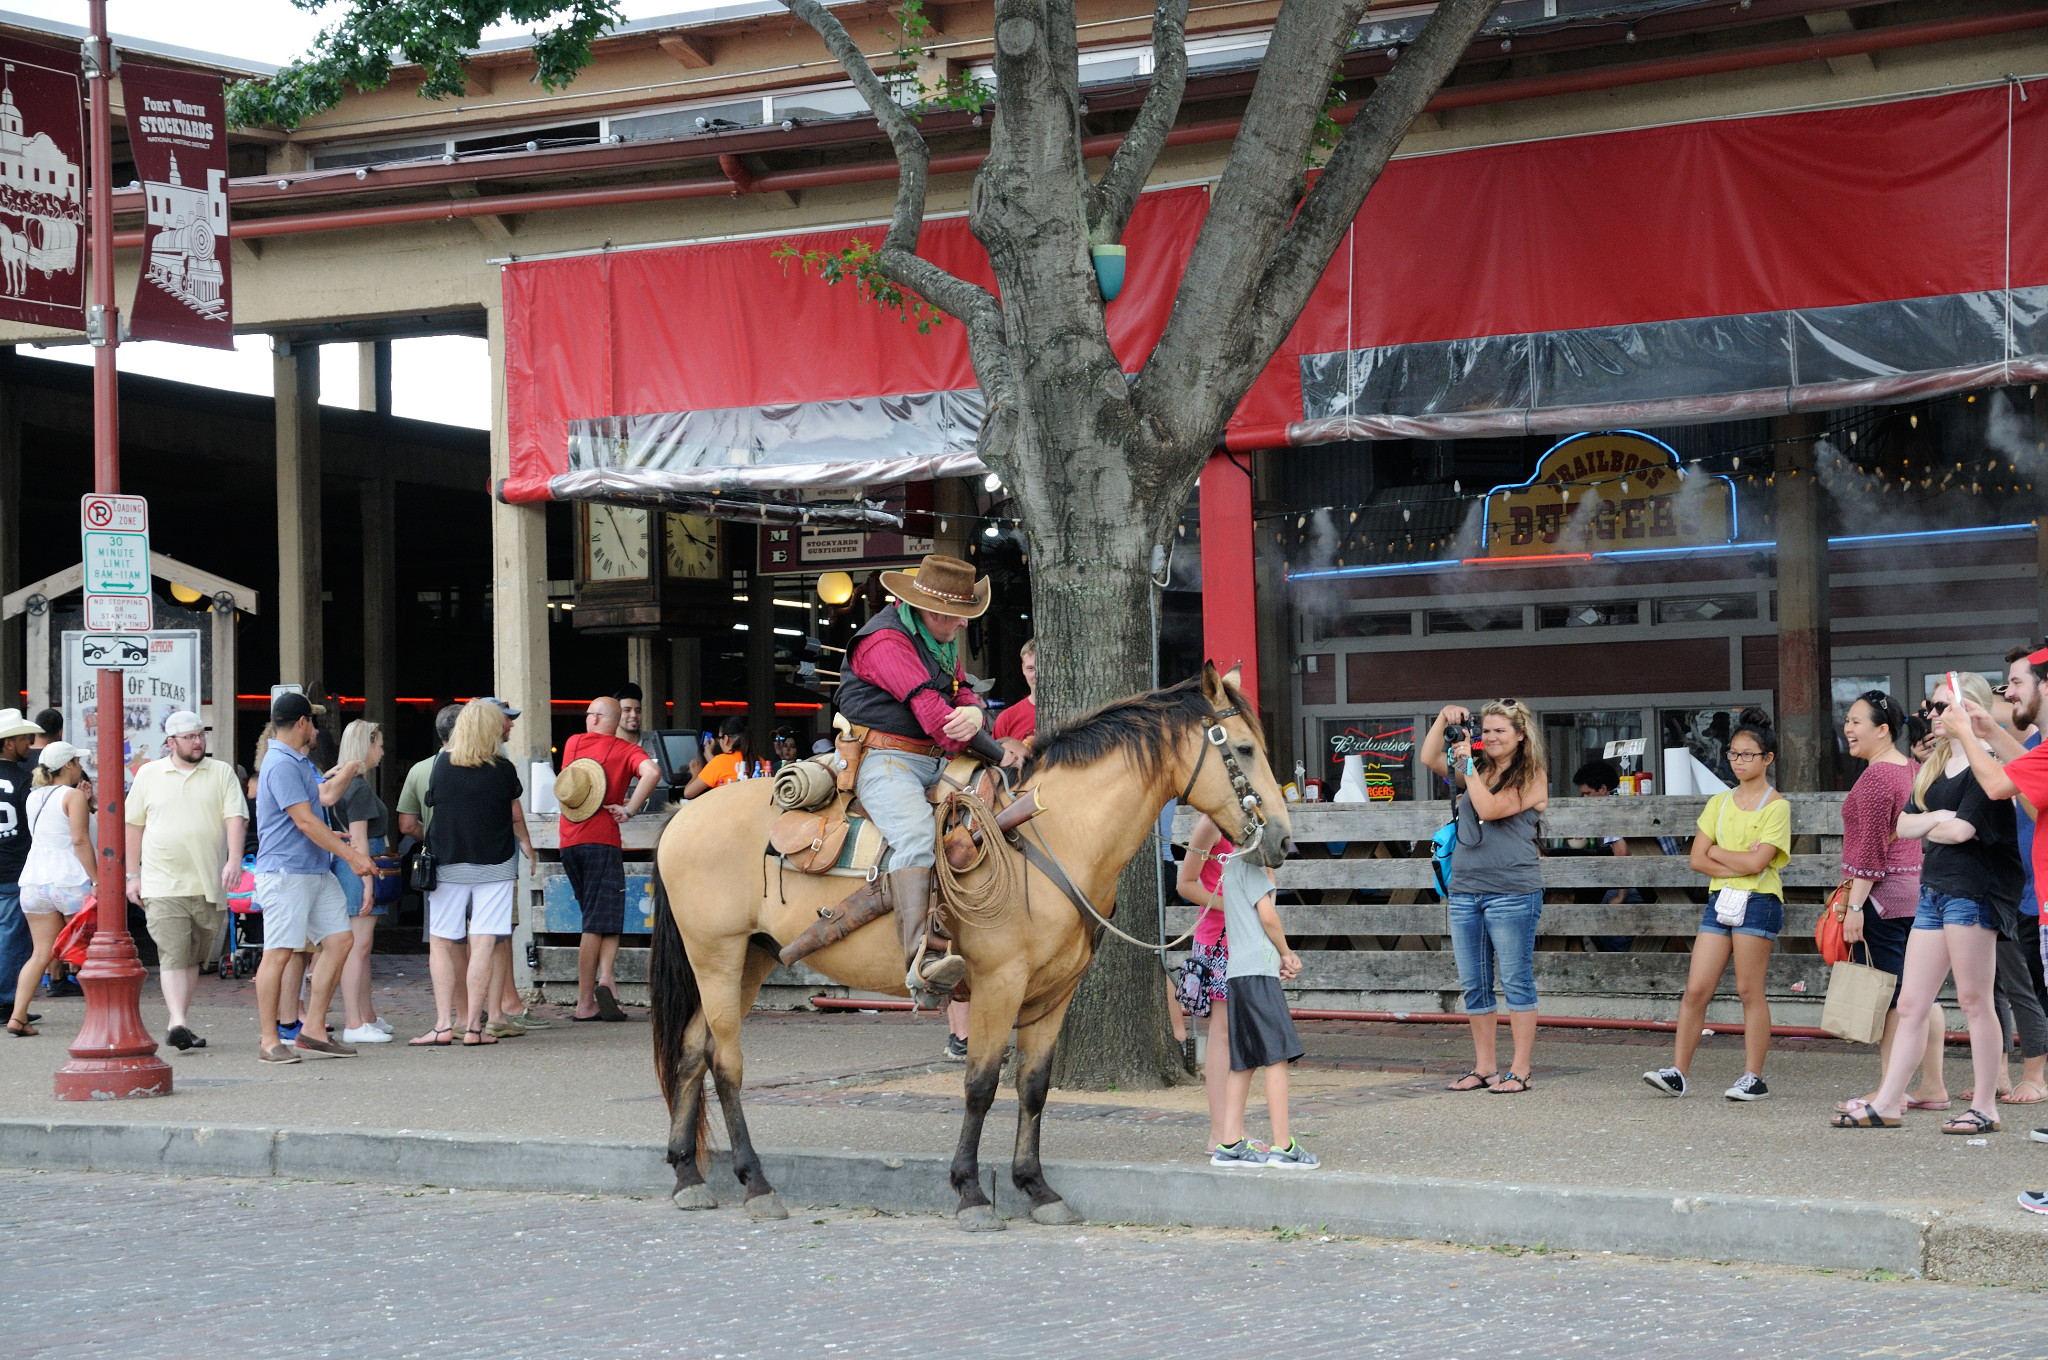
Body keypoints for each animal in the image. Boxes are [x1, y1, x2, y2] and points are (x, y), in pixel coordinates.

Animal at [651, 663, 1294, 1228]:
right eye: (1242, 749)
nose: (1284, 841)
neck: (1049, 833)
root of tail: (681, 818)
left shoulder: (1054, 993)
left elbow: (1033, 1086)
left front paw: (1036, 1188)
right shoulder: (997, 983)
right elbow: (982, 1084)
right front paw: (970, 1192)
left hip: (751, 959)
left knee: (691, 1052)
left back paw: (686, 1175)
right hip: (717, 957)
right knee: (725, 1062)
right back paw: (756, 1183)